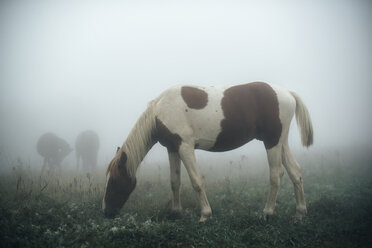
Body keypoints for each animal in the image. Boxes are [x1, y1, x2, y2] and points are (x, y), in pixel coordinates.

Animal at [102, 81, 314, 221]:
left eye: (114, 181)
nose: (105, 212)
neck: (160, 110)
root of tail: (287, 93)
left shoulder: (185, 147)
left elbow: (196, 181)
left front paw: (205, 214)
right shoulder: (172, 148)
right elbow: (174, 182)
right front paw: (176, 212)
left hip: (271, 142)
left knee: (276, 175)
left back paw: (268, 212)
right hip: (280, 142)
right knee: (295, 172)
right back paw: (300, 212)